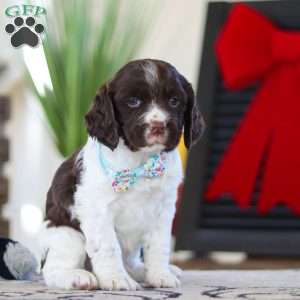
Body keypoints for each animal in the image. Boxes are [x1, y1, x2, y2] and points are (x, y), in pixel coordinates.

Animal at [39, 58, 204, 290]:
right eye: (133, 101)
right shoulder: (98, 209)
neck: (141, 162)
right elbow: (109, 247)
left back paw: (144, 271)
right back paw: (77, 277)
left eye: (174, 101)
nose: (158, 126)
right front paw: (116, 279)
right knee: (52, 269)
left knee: (131, 261)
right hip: (66, 234)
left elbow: (159, 245)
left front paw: (160, 275)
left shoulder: (163, 208)